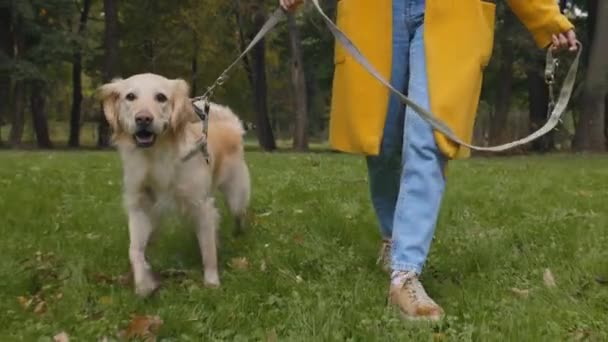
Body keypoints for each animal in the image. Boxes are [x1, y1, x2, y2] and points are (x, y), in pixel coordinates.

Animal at [97, 73, 249, 296]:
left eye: (161, 97)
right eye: (130, 96)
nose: (143, 119)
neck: (156, 157)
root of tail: (230, 126)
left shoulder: (201, 205)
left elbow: (208, 251)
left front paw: (212, 282)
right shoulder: (140, 206)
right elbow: (135, 249)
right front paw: (143, 283)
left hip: (236, 196)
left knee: (238, 215)